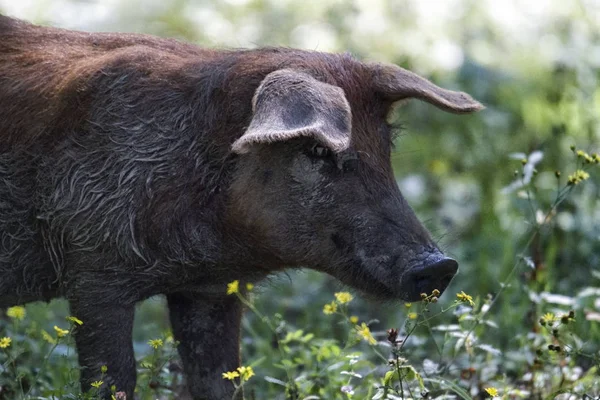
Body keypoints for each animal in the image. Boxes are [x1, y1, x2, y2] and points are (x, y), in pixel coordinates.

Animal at [0, 15, 482, 400]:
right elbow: (111, 379)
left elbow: (219, 381)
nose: (440, 265)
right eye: (316, 150)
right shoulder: (92, 273)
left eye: (387, 146)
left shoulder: (211, 290)